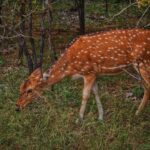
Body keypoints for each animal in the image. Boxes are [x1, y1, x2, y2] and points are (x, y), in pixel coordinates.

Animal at [15, 28, 149, 120]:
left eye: (29, 90)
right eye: (20, 88)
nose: (17, 107)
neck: (71, 67)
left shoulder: (88, 71)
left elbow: (85, 95)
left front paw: (79, 119)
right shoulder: (94, 73)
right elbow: (96, 93)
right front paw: (101, 117)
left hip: (144, 63)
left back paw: (138, 113)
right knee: (146, 87)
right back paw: (137, 113)